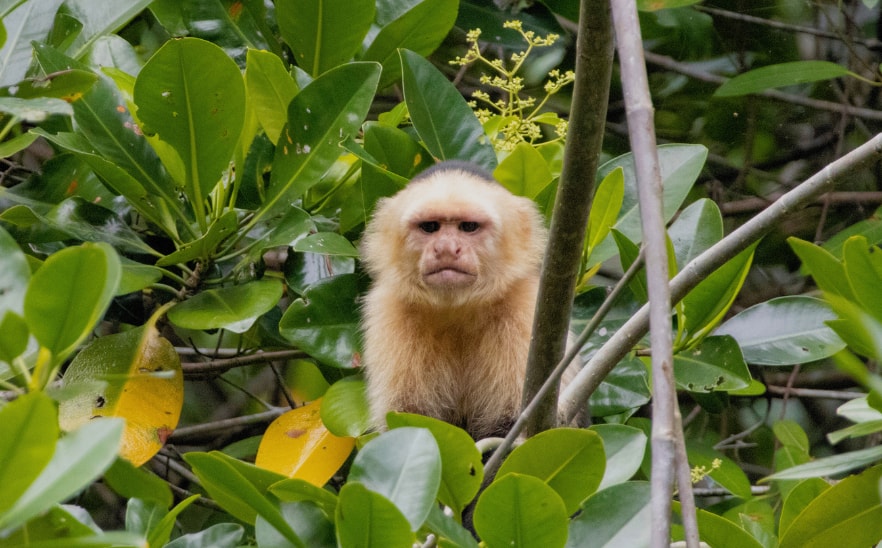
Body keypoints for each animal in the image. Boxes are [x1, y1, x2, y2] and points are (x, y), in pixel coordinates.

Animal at [359, 161, 578, 440]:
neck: (459, 310)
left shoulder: (529, 308)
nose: (446, 249)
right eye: (430, 227)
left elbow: (512, 427)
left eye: (468, 227)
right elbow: (407, 420)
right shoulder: (390, 311)